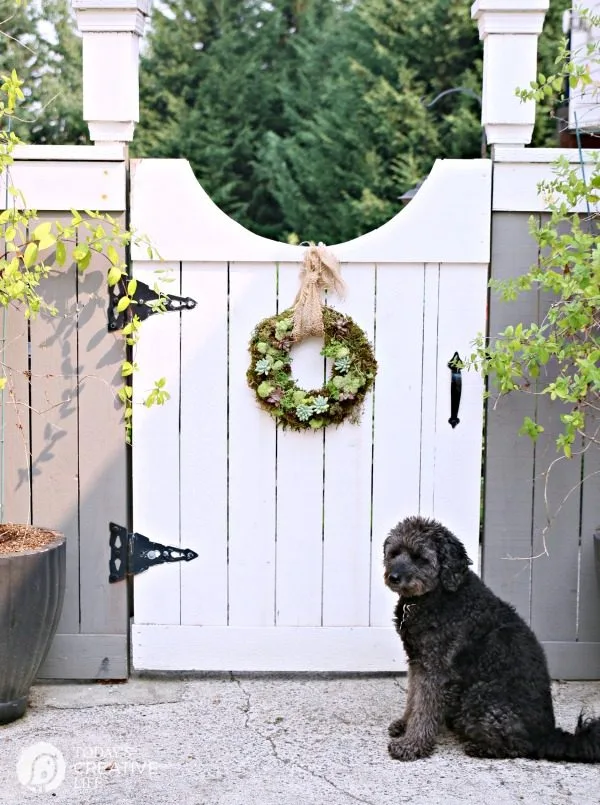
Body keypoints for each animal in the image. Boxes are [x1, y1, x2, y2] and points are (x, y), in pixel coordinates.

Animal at [384, 516, 600, 760]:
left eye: (420, 557)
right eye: (394, 553)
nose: (393, 577)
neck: (434, 596)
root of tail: (548, 735)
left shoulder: (436, 669)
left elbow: (424, 707)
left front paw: (412, 744)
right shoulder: (418, 662)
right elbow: (413, 696)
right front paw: (404, 725)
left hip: (479, 696)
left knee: (520, 746)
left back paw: (480, 747)